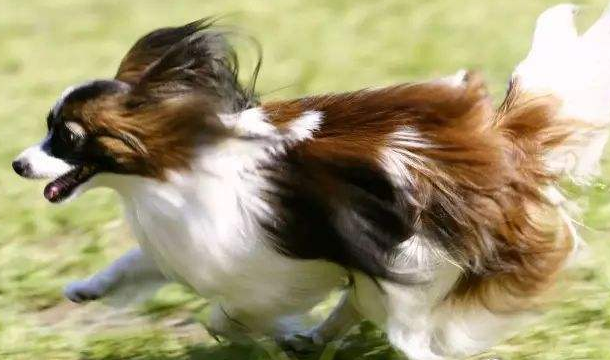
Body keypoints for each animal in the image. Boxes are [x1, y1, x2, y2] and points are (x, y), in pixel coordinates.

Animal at [10, 3, 610, 360]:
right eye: (48, 130)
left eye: (66, 137)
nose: (17, 164)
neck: (174, 162)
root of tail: (501, 143)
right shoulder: (184, 240)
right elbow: (134, 263)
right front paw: (86, 288)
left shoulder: (261, 268)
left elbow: (223, 315)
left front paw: (273, 333)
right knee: (361, 304)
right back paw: (317, 338)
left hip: (416, 268)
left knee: (408, 334)